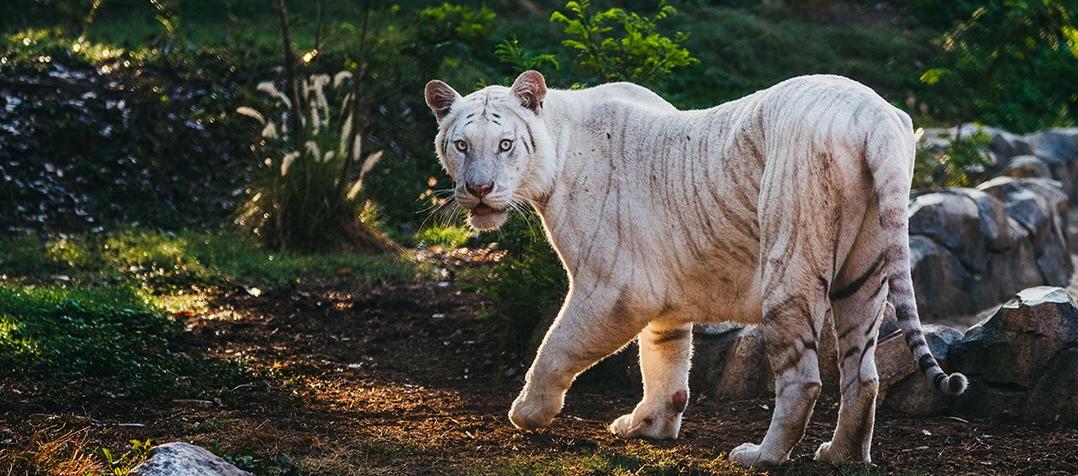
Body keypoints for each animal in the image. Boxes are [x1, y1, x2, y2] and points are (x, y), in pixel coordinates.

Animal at [423, 70, 967, 466]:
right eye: (462, 145)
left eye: (505, 144)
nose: (478, 190)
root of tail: (873, 113)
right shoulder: (661, 293)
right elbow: (665, 360)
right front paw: (649, 426)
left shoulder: (615, 289)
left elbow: (555, 347)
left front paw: (528, 413)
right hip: (864, 271)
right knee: (863, 375)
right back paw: (840, 455)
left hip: (789, 264)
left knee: (803, 379)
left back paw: (762, 456)